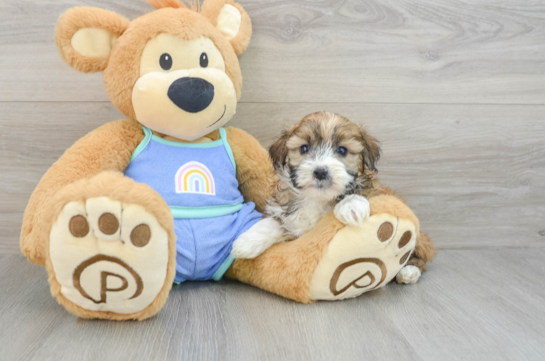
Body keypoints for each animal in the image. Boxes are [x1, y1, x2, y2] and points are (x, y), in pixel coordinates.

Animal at [232, 111, 422, 282]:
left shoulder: (377, 190)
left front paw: (351, 206)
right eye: (304, 148)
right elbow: (275, 223)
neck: (317, 199)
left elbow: (363, 192)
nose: (320, 171)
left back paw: (409, 271)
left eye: (342, 150)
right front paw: (247, 241)